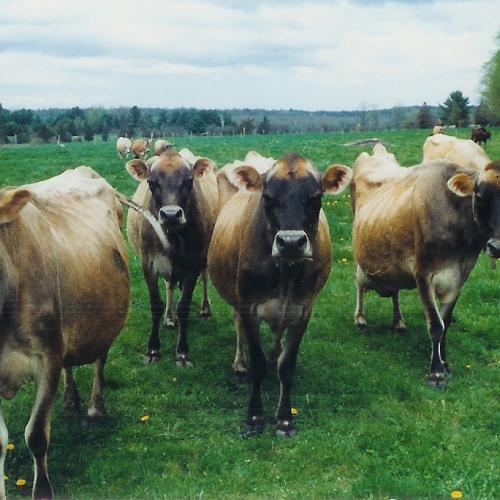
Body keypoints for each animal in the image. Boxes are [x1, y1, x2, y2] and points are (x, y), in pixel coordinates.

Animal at [0, 166, 129, 498]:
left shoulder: (47, 357)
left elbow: (36, 435)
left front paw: (43, 491)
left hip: (103, 319)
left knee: (99, 360)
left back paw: (95, 409)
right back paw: (71, 402)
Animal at [126, 146, 218, 366]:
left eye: (189, 181)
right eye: (151, 183)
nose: (170, 215)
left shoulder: (193, 265)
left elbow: (183, 306)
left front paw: (182, 352)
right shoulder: (148, 263)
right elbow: (156, 304)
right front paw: (153, 349)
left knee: (204, 278)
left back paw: (205, 309)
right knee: (169, 284)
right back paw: (169, 318)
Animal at [207, 152, 352, 438]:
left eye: (315, 197)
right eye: (267, 197)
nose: (291, 242)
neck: (286, 271)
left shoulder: (304, 309)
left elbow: (287, 364)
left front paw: (285, 419)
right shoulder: (248, 305)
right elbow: (257, 362)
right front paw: (254, 418)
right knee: (238, 327)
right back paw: (240, 363)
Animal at [350, 143, 500, 388]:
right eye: (479, 196)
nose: (496, 246)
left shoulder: (460, 276)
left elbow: (445, 321)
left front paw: (445, 362)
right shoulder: (423, 273)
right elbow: (435, 324)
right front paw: (436, 372)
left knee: (394, 290)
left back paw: (398, 321)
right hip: (360, 250)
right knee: (360, 283)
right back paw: (360, 318)